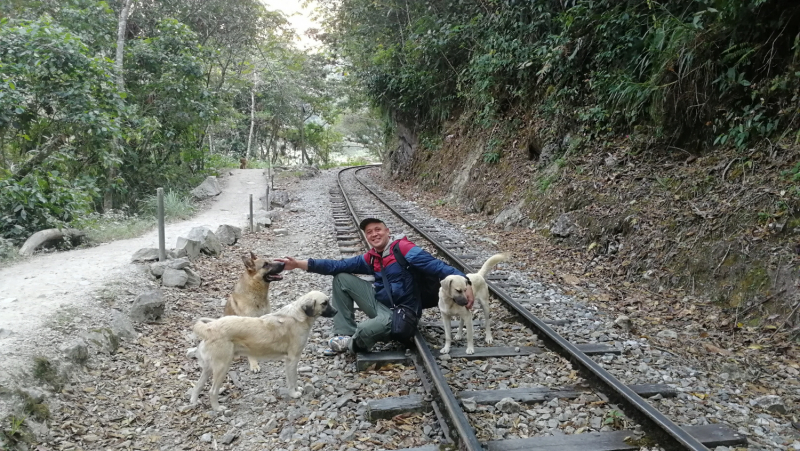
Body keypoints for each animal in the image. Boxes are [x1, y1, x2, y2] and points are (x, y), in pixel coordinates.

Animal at [189, 292, 336, 412]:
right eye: (324, 303)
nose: (336, 312)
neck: (299, 316)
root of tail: (210, 327)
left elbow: (293, 379)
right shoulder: (292, 359)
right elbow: (292, 379)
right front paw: (294, 394)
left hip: (209, 368)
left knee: (198, 386)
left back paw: (194, 402)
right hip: (222, 367)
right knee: (212, 391)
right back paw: (217, 408)